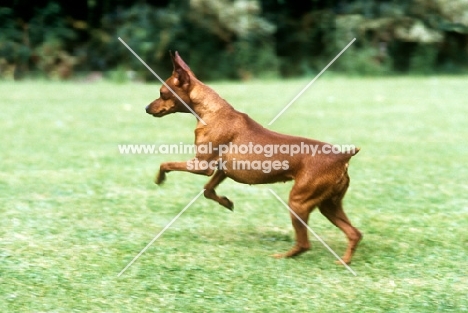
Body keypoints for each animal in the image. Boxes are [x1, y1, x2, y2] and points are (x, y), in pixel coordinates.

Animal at [146, 51, 362, 264]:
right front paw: (226, 202)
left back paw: (283, 257)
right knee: (355, 233)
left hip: (298, 202)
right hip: (328, 205)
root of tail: (342, 157)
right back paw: (344, 261)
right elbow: (207, 190)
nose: (146, 108)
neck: (212, 112)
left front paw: (159, 178)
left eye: (162, 93)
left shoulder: (202, 165)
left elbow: (165, 164)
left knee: (304, 244)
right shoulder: (222, 170)